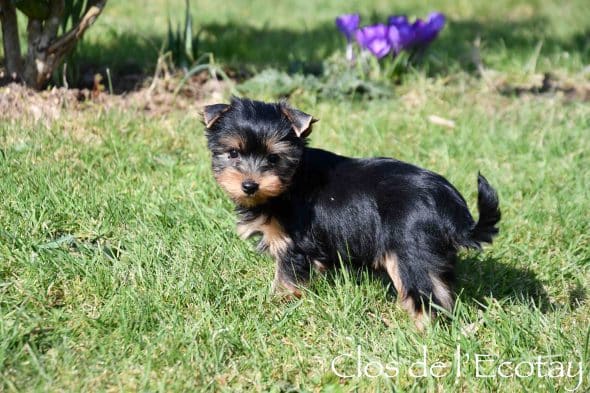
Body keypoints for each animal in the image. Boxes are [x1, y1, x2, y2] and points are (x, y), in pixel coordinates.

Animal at [206, 97, 502, 328]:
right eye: (233, 153)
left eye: (273, 158)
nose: (249, 185)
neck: (291, 180)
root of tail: (450, 203)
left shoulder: (293, 244)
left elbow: (286, 277)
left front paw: (278, 303)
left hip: (409, 250)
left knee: (426, 291)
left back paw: (420, 328)